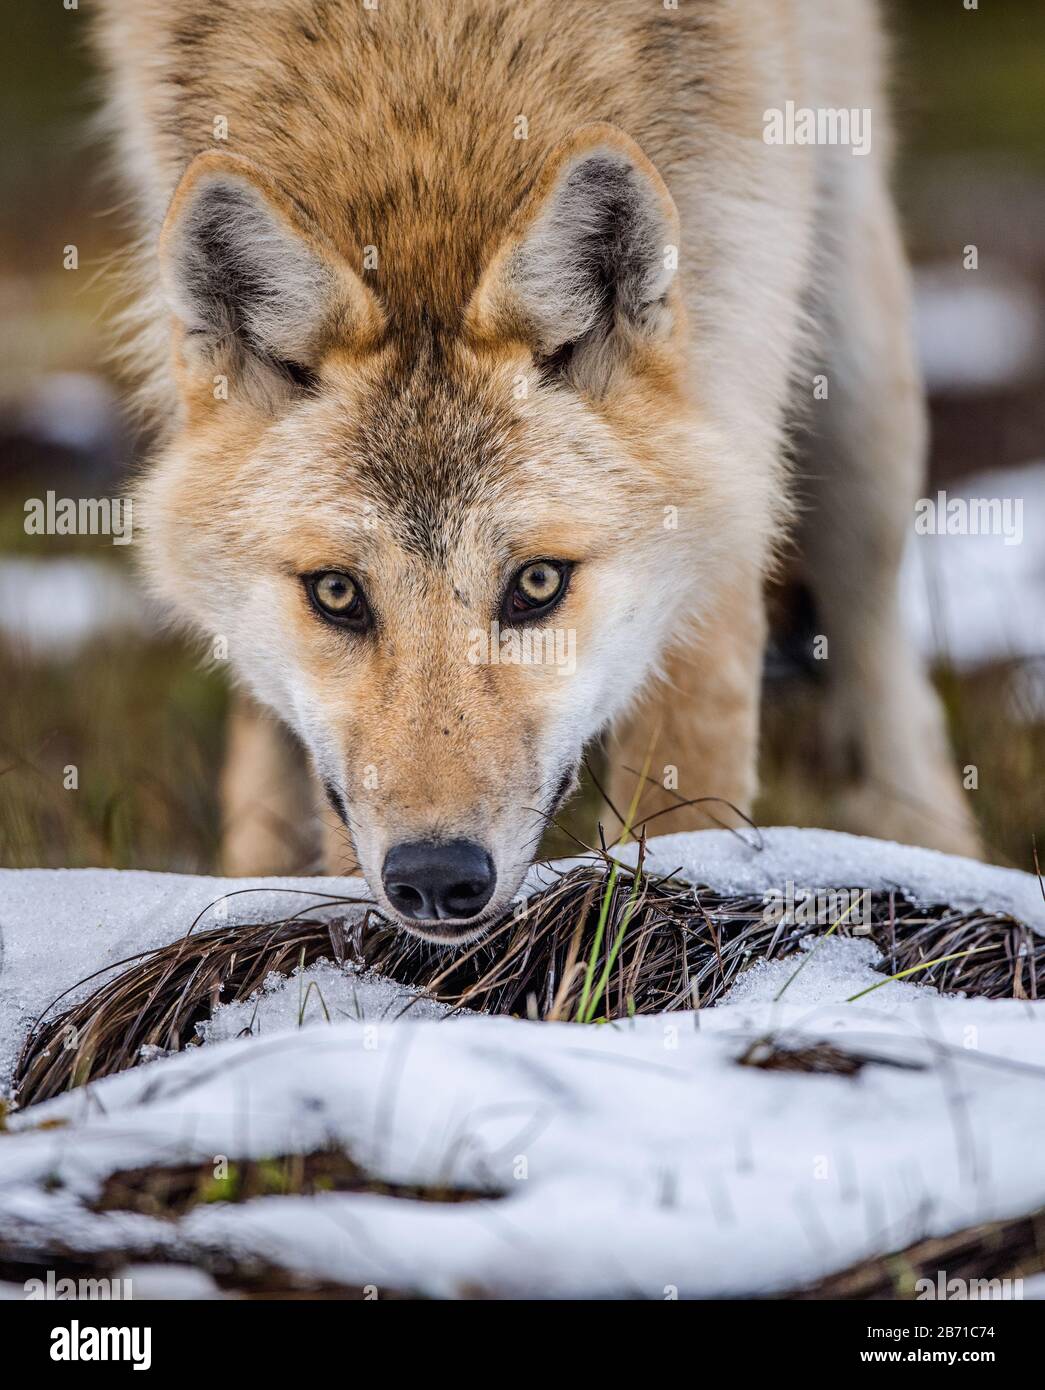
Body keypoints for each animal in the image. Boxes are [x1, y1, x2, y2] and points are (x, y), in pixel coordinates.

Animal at [91, 2, 978, 945]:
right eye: (336, 594)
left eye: (538, 584)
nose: (435, 879)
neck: (425, 110)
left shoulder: (732, 441)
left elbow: (685, 801)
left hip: (852, 355)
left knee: (880, 644)